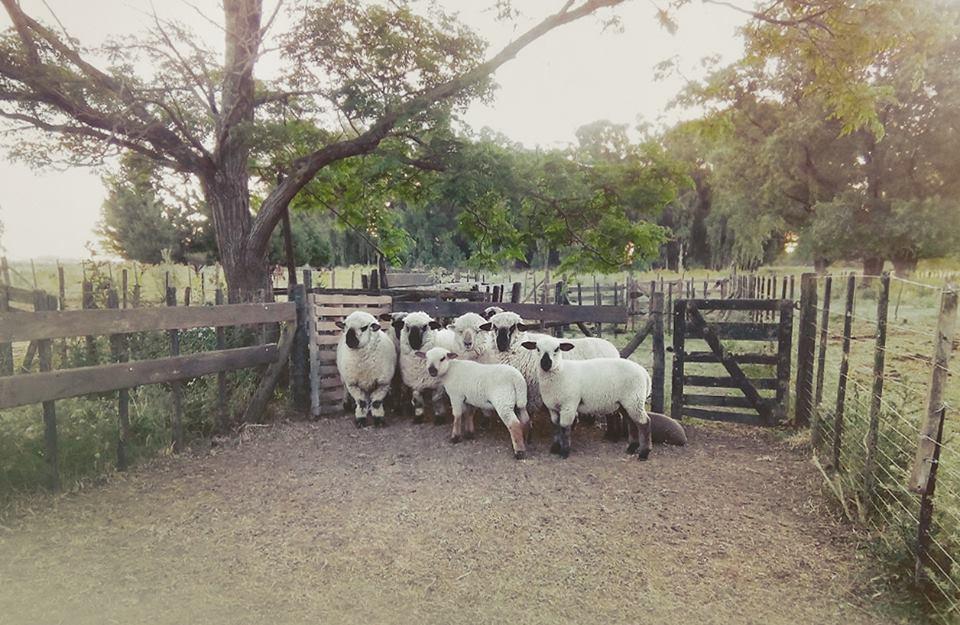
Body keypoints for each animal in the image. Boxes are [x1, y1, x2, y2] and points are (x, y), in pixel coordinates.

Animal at [520, 336, 656, 458]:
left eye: (557, 349)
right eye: (537, 348)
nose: (545, 363)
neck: (561, 373)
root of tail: (644, 373)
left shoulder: (569, 405)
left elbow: (564, 428)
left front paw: (564, 452)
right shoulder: (552, 407)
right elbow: (556, 427)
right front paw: (555, 448)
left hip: (635, 399)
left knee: (645, 423)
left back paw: (644, 453)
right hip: (625, 402)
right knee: (632, 422)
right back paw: (631, 448)